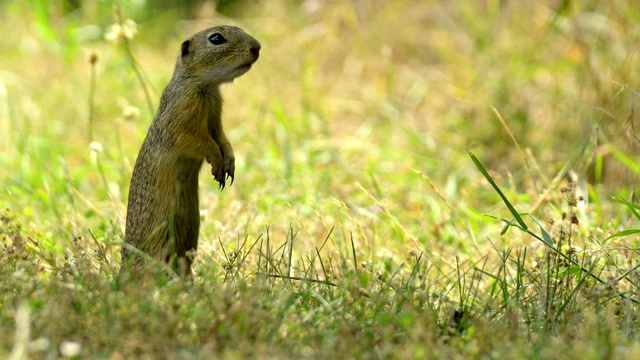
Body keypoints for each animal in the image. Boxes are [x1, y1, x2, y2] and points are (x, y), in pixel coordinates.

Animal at [120, 26, 260, 278]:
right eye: (216, 38)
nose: (257, 47)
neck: (204, 86)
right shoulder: (184, 120)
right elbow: (202, 143)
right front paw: (218, 164)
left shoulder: (215, 116)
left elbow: (222, 139)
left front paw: (230, 161)